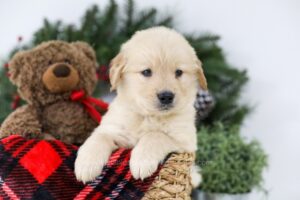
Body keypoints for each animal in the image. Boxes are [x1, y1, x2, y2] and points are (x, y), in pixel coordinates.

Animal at [74, 26, 206, 183]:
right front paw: (86, 164)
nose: (166, 96)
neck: (148, 116)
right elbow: (99, 137)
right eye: (147, 72)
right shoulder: (114, 129)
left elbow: (155, 135)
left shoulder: (185, 141)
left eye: (179, 72)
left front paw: (142, 161)